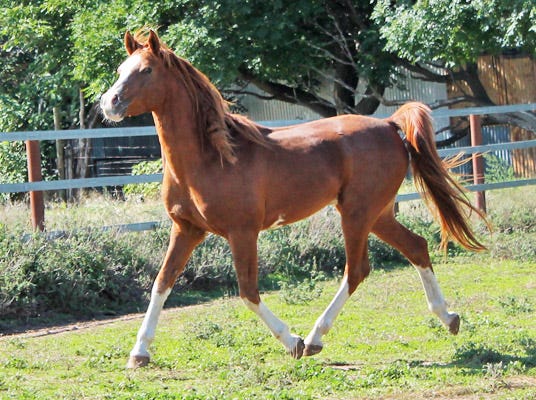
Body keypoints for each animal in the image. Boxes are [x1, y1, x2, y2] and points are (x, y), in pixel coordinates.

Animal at [100, 30, 486, 368]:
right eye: (120, 69)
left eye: (146, 70)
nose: (109, 103)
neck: (211, 157)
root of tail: (389, 124)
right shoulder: (187, 229)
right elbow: (161, 284)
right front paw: (139, 353)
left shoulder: (242, 232)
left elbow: (248, 291)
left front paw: (293, 342)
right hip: (377, 214)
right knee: (416, 247)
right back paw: (449, 318)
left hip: (357, 213)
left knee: (357, 270)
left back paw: (314, 338)